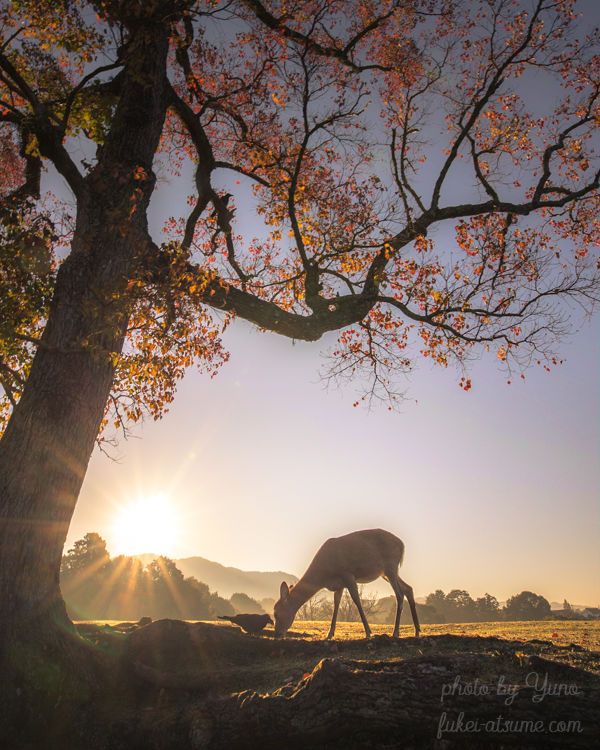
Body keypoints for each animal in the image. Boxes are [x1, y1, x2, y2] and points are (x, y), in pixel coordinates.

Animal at [274, 528, 420, 640]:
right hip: (386, 572)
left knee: (399, 594)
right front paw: (329, 634)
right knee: (408, 588)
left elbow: (356, 600)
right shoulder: (338, 585)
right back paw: (417, 631)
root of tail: (402, 545)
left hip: (390, 565)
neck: (324, 574)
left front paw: (368, 632)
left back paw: (395, 633)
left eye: (275, 612)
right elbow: (336, 605)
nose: (277, 634)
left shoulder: (348, 574)